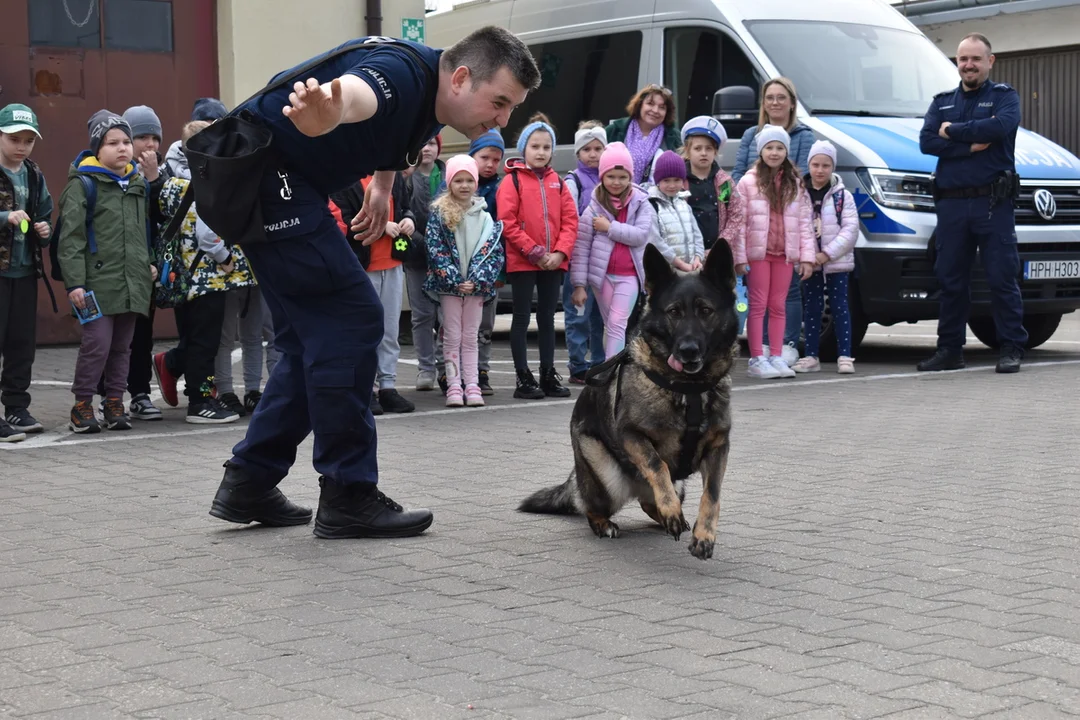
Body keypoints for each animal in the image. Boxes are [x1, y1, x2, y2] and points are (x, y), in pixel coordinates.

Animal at [516, 240, 738, 557]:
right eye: (674, 312)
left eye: (705, 310)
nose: (688, 351)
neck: (688, 389)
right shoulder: (631, 435)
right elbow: (657, 464)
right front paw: (671, 511)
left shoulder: (719, 447)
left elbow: (713, 494)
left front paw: (704, 535)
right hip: (606, 477)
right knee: (591, 507)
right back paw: (609, 523)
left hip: (679, 486)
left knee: (648, 501)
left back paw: (673, 519)